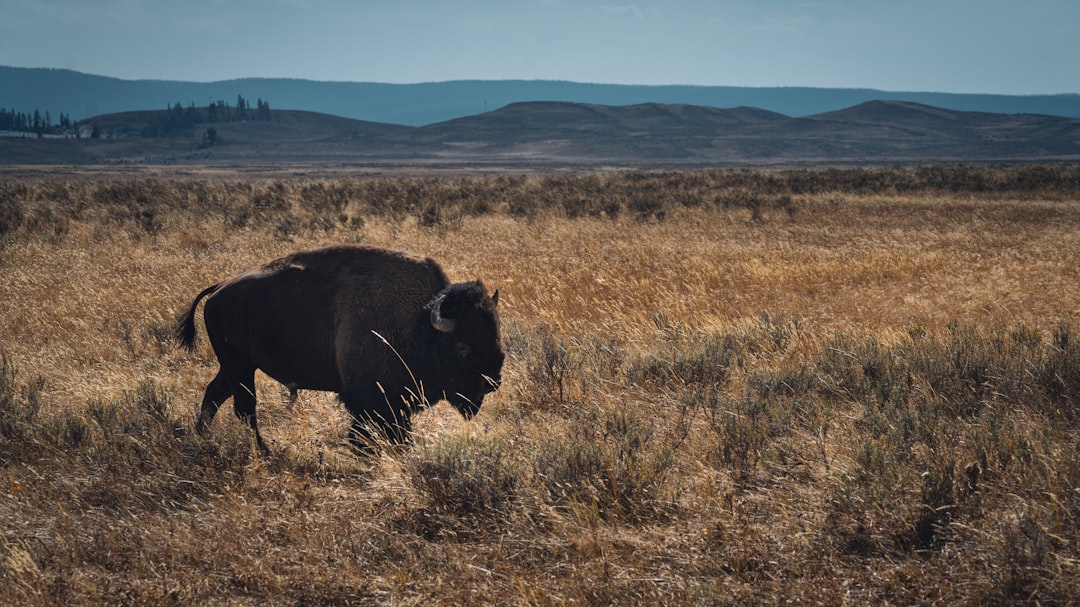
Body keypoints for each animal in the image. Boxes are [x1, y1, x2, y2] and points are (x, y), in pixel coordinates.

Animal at [176, 243, 505, 451]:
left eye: (496, 333)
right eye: (461, 346)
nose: (492, 382)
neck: (418, 323)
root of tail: (218, 289)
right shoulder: (370, 401)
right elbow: (378, 434)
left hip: (235, 366)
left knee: (215, 394)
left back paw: (204, 437)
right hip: (239, 366)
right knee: (244, 408)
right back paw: (264, 451)